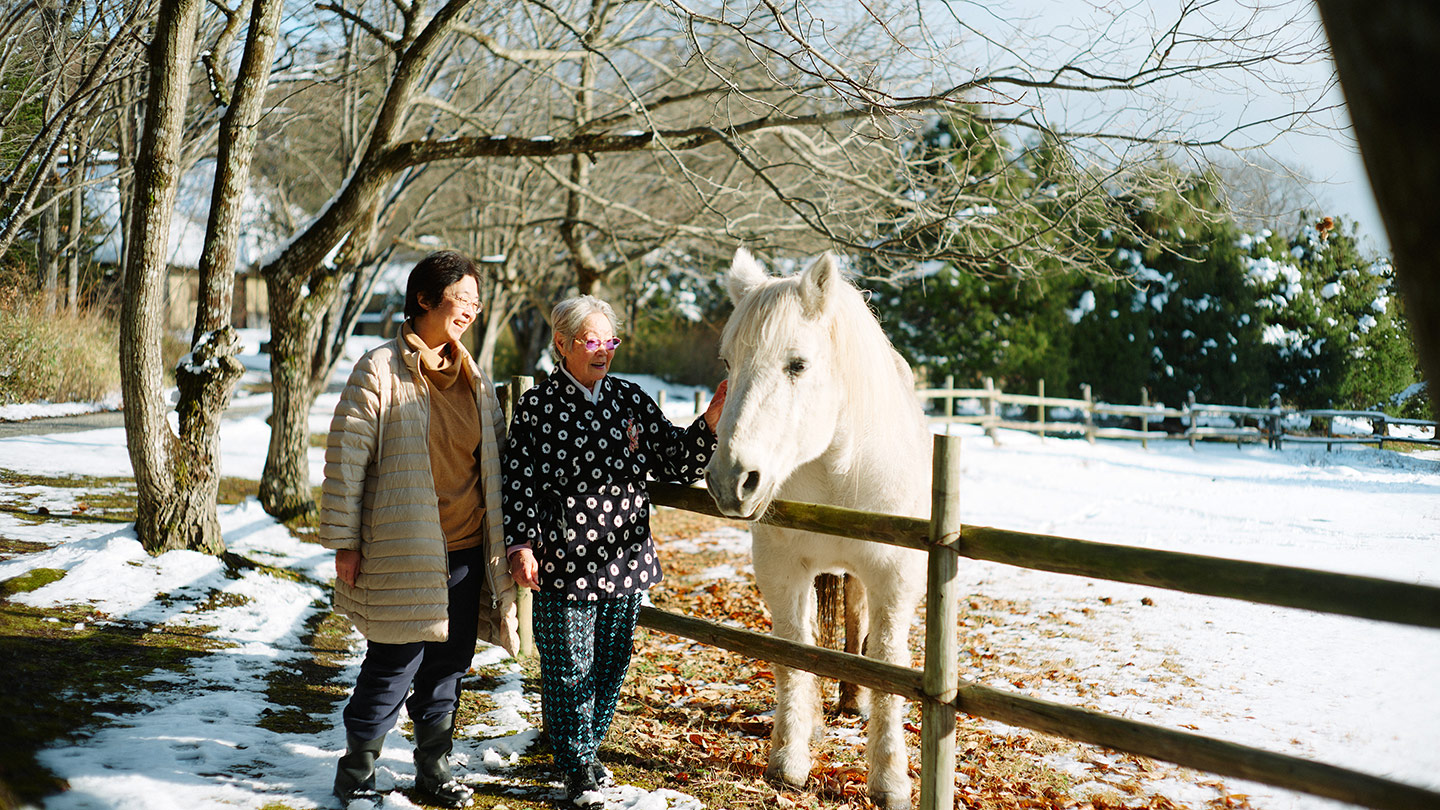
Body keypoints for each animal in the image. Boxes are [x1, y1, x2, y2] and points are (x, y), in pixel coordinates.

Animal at [706, 248, 931, 810]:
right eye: (728, 363)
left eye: (798, 365)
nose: (730, 480)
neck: (838, 474)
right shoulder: (782, 569)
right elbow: (792, 652)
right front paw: (790, 759)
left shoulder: (895, 576)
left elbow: (887, 662)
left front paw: (889, 780)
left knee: (856, 627)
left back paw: (854, 701)